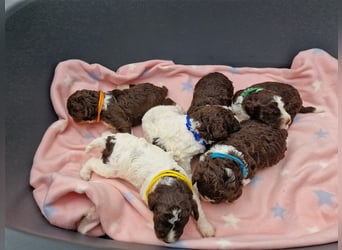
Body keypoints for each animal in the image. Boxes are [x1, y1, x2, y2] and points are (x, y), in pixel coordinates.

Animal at [79, 134, 214, 243]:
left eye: (182, 223)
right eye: (160, 218)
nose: (167, 241)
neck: (169, 183)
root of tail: (111, 141)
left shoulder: (191, 192)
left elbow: (199, 211)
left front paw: (206, 228)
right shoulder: (146, 193)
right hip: (111, 168)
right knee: (92, 161)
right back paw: (84, 173)